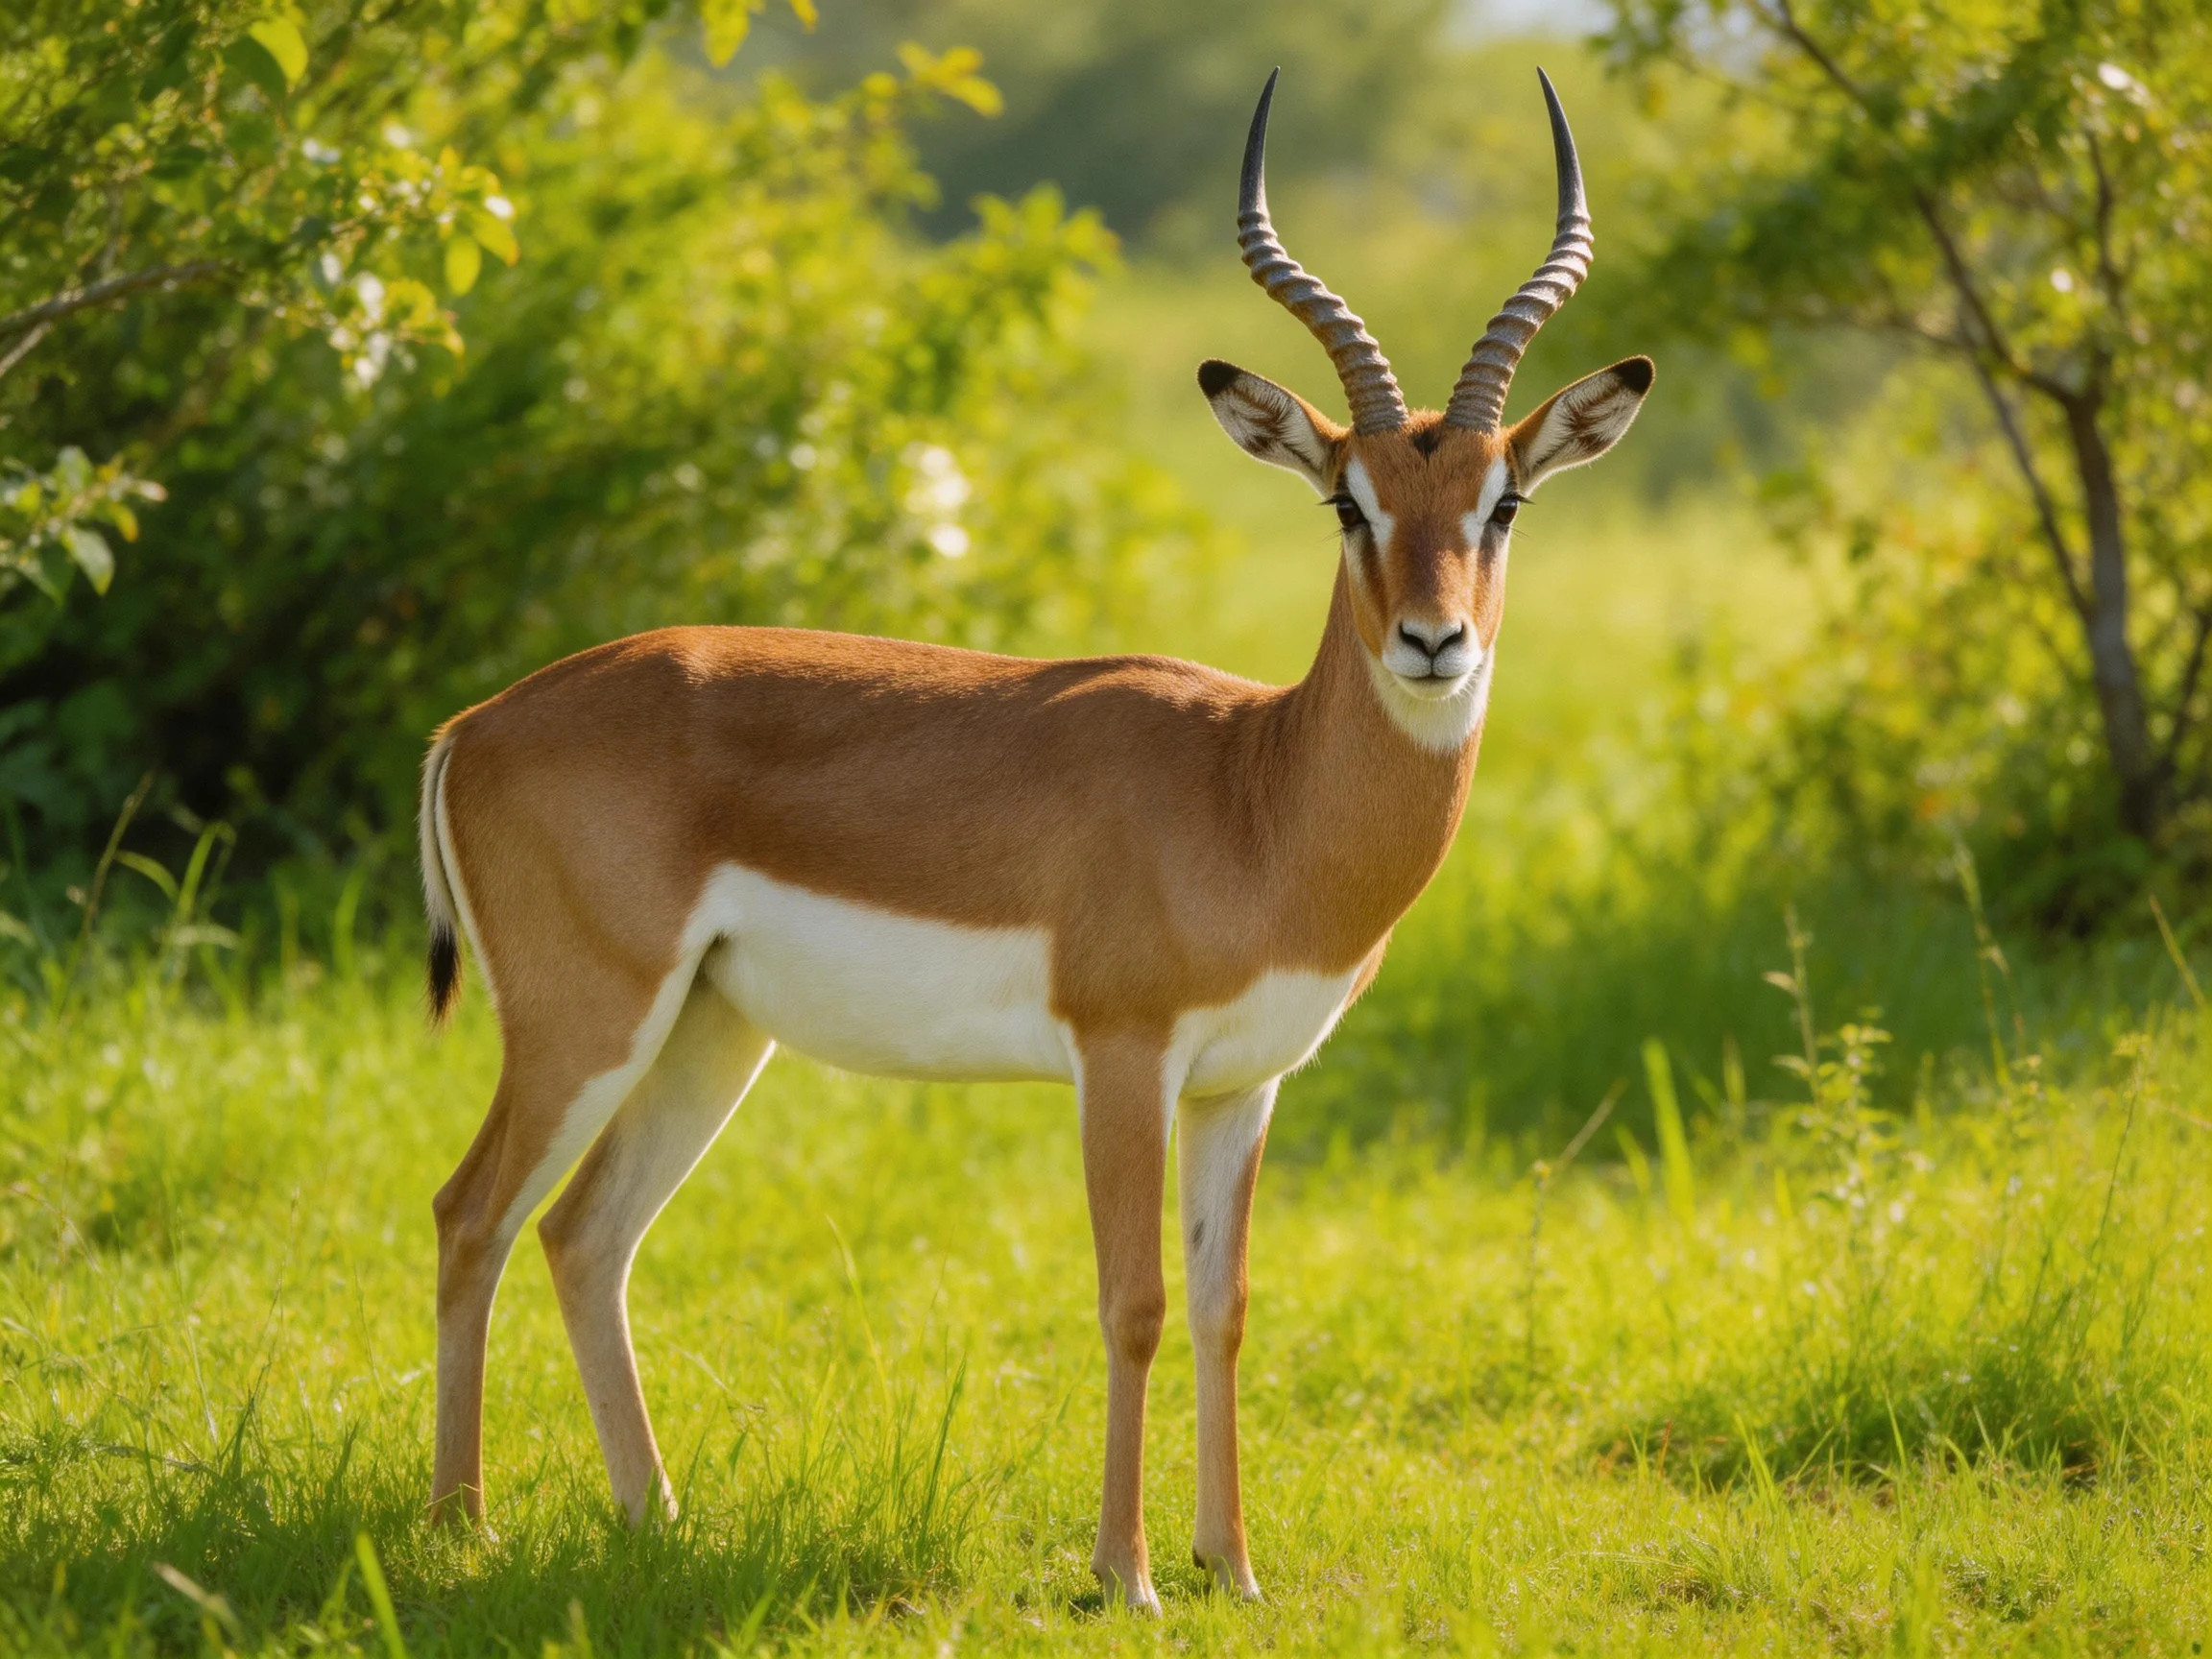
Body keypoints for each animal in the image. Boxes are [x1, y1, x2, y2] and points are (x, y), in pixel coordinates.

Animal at [416, 68, 1650, 1609]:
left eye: (1505, 501)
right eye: (1346, 500)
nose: (1434, 643)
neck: (1253, 799)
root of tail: (473, 722)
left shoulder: (1243, 1086)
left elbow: (1225, 1306)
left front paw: (1235, 1572)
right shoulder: (1121, 1059)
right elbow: (1132, 1300)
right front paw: (1126, 1576)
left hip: (707, 1030)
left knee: (585, 1236)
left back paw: (659, 1523)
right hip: (584, 1022)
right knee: (471, 1214)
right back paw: (461, 1531)